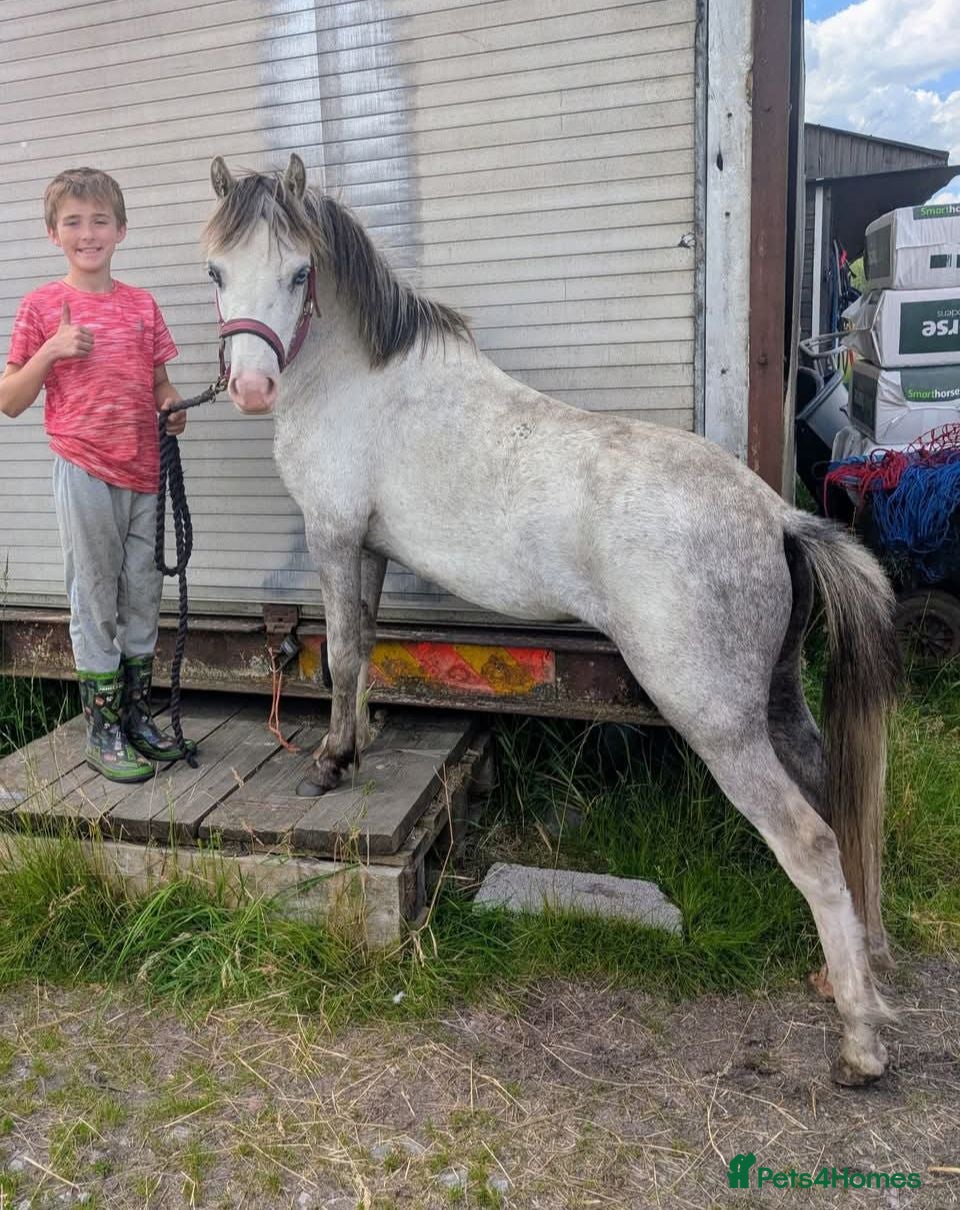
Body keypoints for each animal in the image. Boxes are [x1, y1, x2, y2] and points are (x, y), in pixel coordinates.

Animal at [203, 153, 901, 1085]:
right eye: (217, 271)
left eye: (297, 271)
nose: (249, 387)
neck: (362, 384)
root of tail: (776, 516)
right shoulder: (369, 550)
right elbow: (370, 643)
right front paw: (364, 739)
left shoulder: (335, 536)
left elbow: (344, 651)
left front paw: (330, 762)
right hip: (778, 698)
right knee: (836, 795)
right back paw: (845, 970)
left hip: (716, 720)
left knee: (812, 843)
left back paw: (860, 1042)